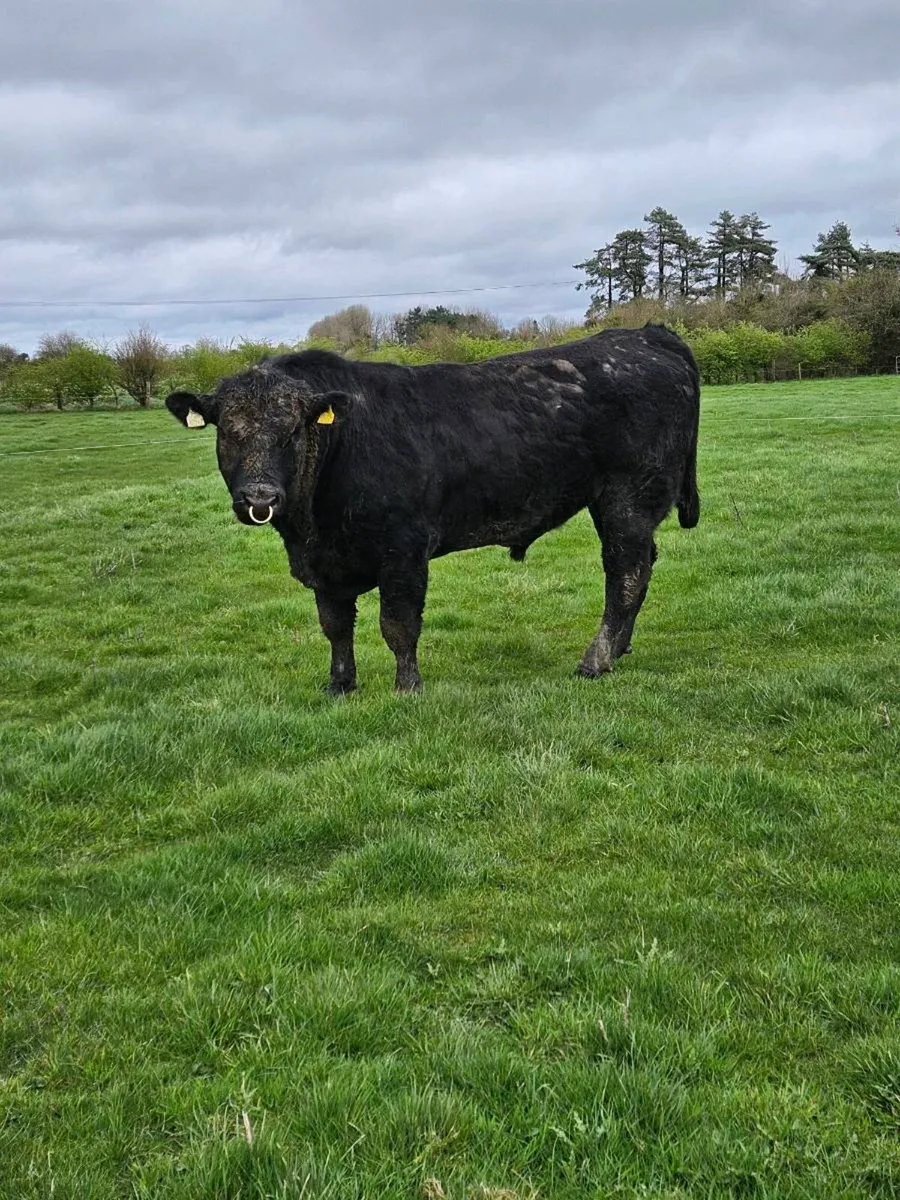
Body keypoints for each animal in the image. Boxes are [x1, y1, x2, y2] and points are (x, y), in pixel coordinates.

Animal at [165, 323, 700, 693]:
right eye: (227, 430)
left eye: (293, 430)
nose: (260, 498)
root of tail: (646, 335)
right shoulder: (326, 564)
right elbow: (335, 626)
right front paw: (340, 685)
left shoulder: (403, 551)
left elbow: (398, 625)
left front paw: (407, 687)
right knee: (642, 568)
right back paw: (621, 648)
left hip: (627, 497)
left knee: (624, 574)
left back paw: (596, 659)